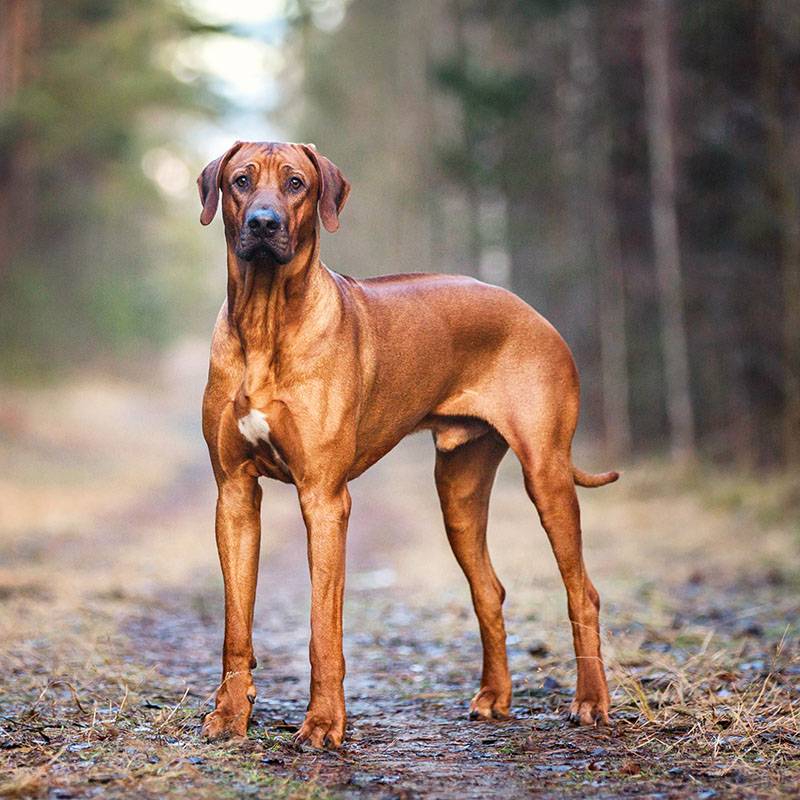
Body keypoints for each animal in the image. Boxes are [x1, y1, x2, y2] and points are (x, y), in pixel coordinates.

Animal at [195, 141, 620, 748]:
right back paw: (495, 697)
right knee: (489, 589)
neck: (266, 319)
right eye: (241, 181)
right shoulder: (233, 494)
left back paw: (590, 701)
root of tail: (533, 312)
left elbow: (323, 628)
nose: (263, 223)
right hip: (458, 491)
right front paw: (231, 714)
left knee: (582, 590)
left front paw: (323, 723)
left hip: (547, 473)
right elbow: (236, 624)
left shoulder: (325, 499)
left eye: (296, 183)